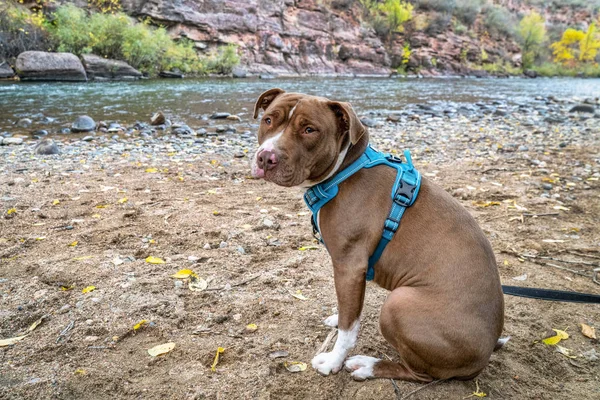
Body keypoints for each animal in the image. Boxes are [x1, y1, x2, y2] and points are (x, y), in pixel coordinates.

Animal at [251, 89, 504, 382]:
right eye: (269, 120)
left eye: (309, 129)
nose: (266, 157)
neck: (344, 171)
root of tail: (485, 355)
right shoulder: (351, 276)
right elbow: (349, 311)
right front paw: (338, 318)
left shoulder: (349, 266)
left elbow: (349, 330)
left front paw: (333, 361)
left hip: (398, 304)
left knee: (420, 374)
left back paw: (368, 366)